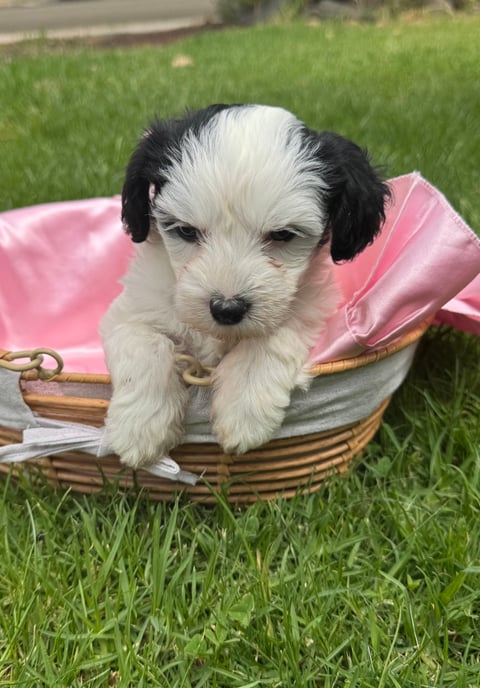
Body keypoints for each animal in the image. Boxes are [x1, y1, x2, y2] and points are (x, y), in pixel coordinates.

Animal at [101, 103, 390, 468]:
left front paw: (244, 409)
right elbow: (144, 344)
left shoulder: (310, 305)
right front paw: (140, 427)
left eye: (282, 235)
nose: (227, 309)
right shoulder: (131, 310)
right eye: (185, 231)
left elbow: (274, 334)